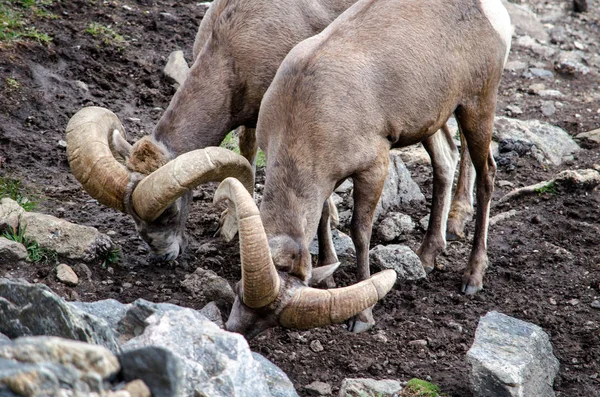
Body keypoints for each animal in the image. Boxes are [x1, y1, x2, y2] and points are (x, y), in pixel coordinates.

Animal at [67, 0, 474, 266]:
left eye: (168, 212)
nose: (162, 256)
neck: (235, 40)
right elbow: (246, 153)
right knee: (445, 154)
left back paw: (457, 224)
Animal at [220, 0, 510, 336]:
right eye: (240, 291)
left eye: (269, 320)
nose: (236, 329)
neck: (305, 106)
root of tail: (491, 12)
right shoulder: (326, 178)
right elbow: (323, 217)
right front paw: (330, 276)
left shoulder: (374, 167)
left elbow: (360, 232)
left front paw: (362, 318)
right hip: (433, 120)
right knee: (445, 159)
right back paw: (426, 257)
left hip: (477, 106)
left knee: (487, 175)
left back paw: (472, 277)